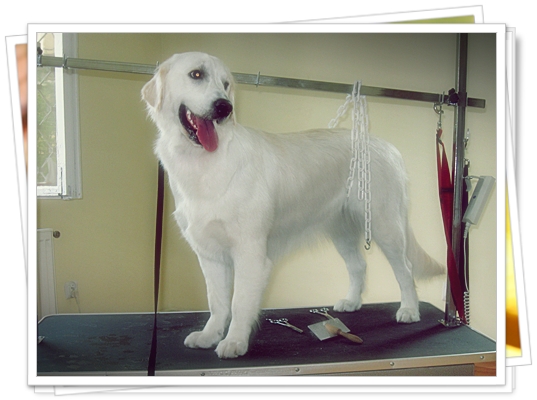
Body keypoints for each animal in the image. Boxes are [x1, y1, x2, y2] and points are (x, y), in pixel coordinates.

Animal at [142, 52, 445, 359]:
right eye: (196, 74)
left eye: (225, 84)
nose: (224, 107)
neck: (203, 160)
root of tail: (389, 147)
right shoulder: (210, 254)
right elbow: (217, 302)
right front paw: (209, 336)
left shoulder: (250, 253)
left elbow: (239, 302)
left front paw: (234, 341)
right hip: (342, 230)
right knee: (359, 265)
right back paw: (351, 302)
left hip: (385, 226)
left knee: (405, 269)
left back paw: (409, 310)